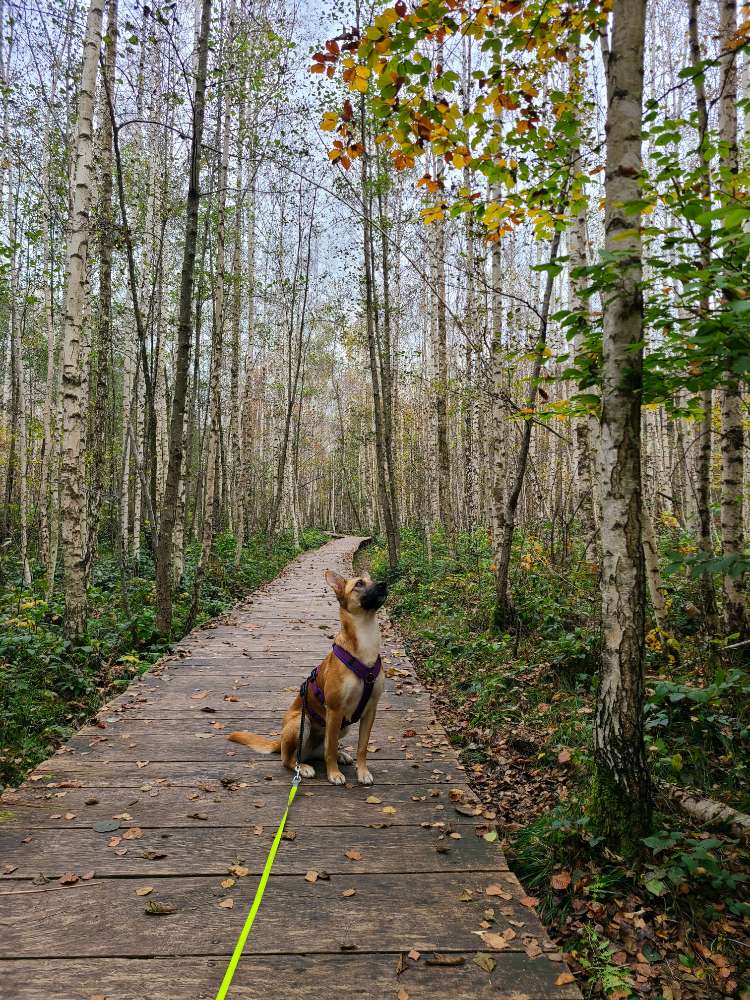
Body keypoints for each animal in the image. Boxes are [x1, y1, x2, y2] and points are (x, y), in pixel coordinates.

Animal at [228, 568, 388, 784]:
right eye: (359, 584)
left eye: (372, 580)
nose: (384, 584)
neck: (365, 639)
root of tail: (279, 742)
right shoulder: (335, 710)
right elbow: (330, 749)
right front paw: (334, 773)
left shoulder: (370, 710)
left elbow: (362, 747)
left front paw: (362, 771)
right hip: (301, 724)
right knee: (289, 759)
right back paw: (302, 768)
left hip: (341, 726)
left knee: (319, 750)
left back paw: (340, 755)